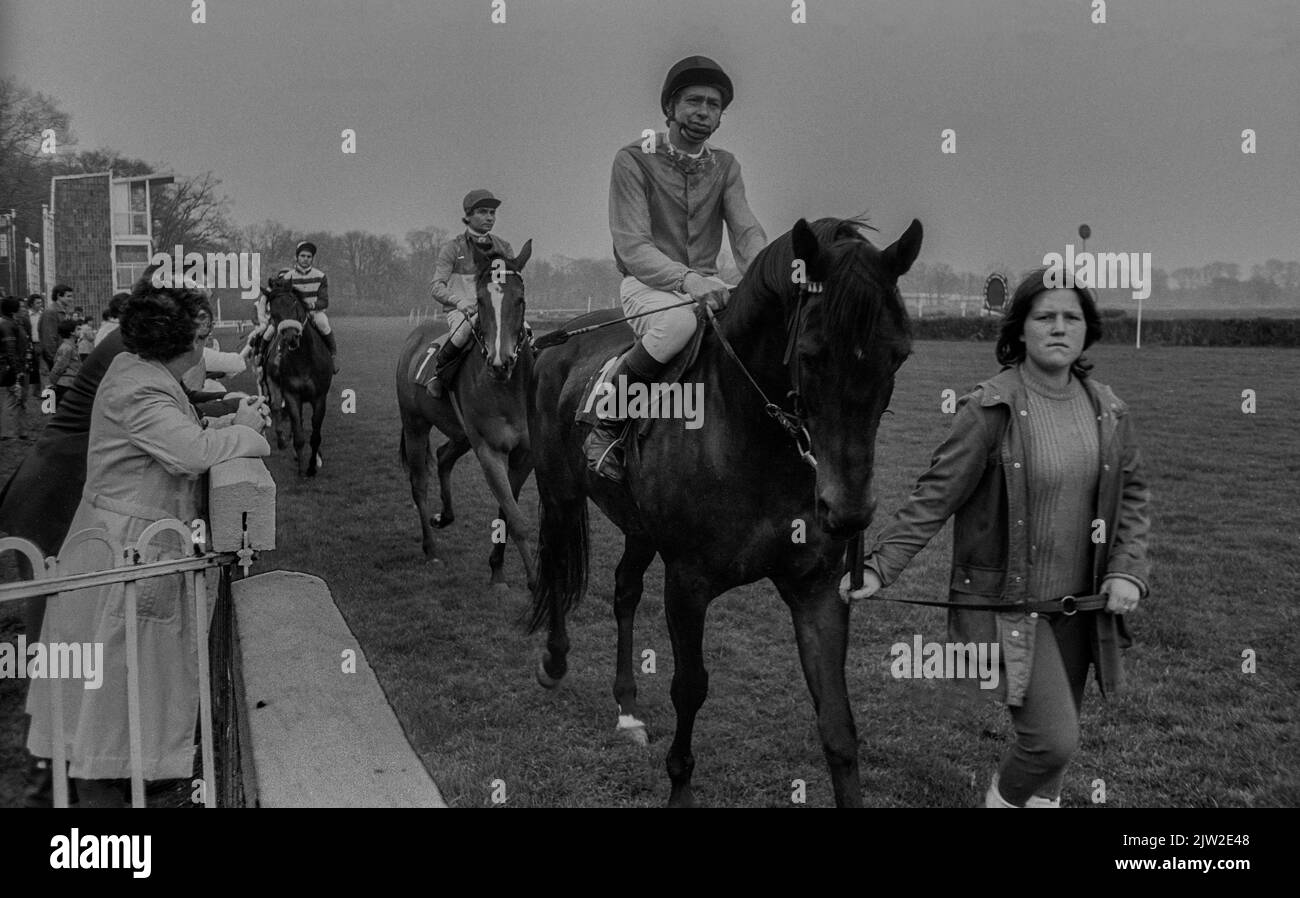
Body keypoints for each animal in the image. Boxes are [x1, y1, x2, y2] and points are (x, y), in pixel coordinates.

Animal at [261, 279, 335, 478]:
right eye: (273, 311)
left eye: (293, 302)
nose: (291, 337)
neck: (304, 359)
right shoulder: (292, 395)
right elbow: (299, 434)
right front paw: (303, 469)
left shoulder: (320, 398)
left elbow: (315, 435)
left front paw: (312, 466)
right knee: (278, 408)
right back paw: (283, 441)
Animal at [395, 239, 538, 592]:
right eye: (481, 301)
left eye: (520, 299)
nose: (500, 362)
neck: (508, 390)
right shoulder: (489, 449)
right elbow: (516, 518)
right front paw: (533, 582)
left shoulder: (525, 452)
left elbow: (506, 511)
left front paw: (497, 569)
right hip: (415, 424)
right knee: (419, 483)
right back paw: (431, 549)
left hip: (460, 432)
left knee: (444, 455)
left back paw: (444, 516)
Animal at [522, 215, 920, 805]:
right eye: (811, 354)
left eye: (898, 354)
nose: (848, 511)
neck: (752, 437)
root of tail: (557, 342)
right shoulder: (688, 583)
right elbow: (690, 688)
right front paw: (680, 788)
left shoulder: (818, 587)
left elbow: (837, 721)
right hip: (560, 495)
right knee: (557, 565)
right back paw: (554, 660)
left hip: (639, 527)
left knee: (624, 591)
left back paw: (627, 709)